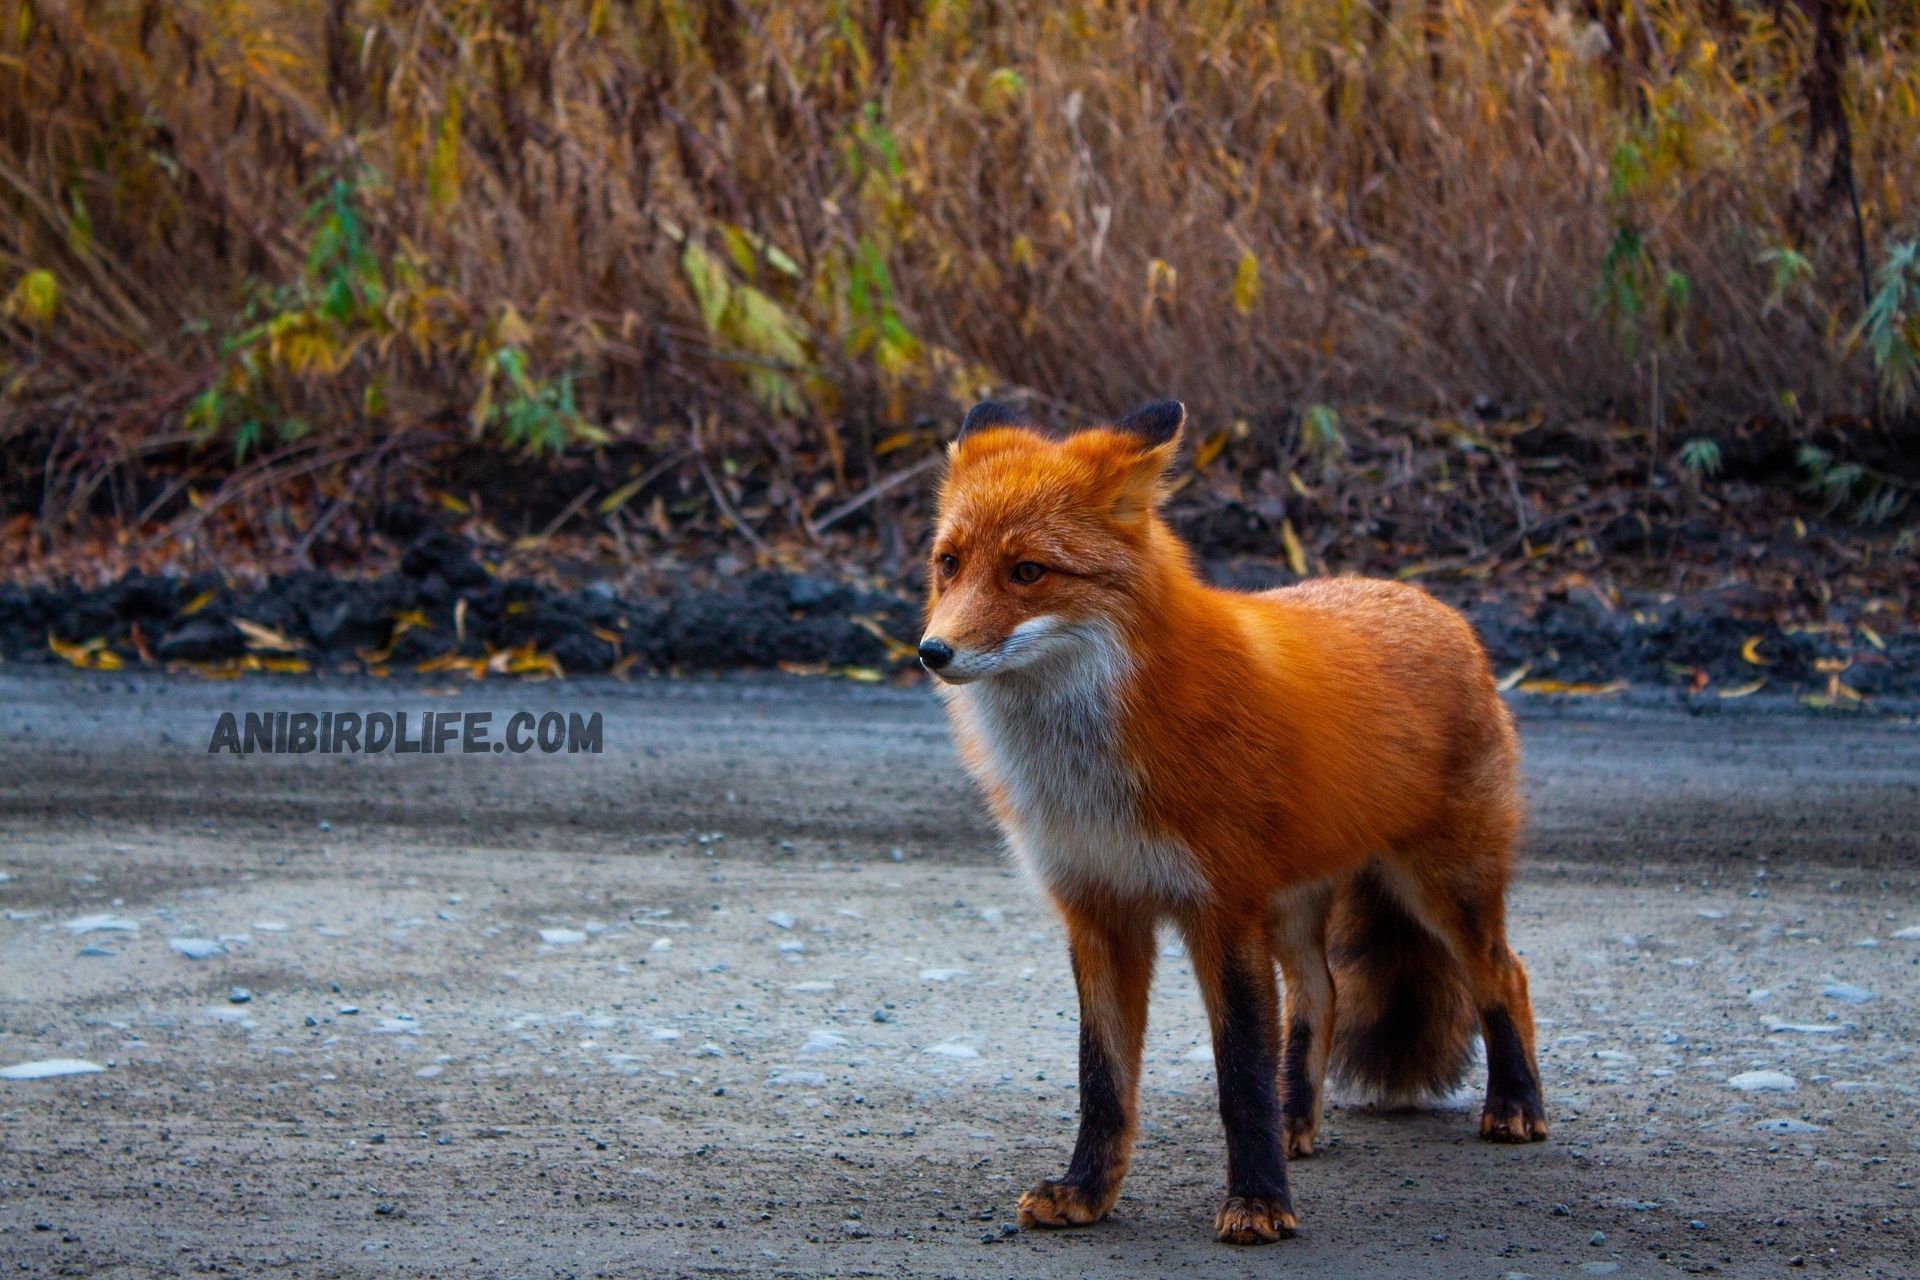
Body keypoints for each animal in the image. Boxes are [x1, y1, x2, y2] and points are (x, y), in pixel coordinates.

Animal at [913, 397, 1543, 1243]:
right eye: (949, 563)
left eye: (1027, 572)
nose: (932, 651)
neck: (1088, 770)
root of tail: (1433, 604)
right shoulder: (1099, 909)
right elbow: (1102, 1079)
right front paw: (1086, 1192)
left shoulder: (1222, 909)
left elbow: (1240, 1075)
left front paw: (1259, 1204)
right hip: (1298, 905)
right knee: (1321, 997)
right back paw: (1297, 1120)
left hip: (1444, 886)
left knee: (1504, 974)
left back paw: (1515, 1105)